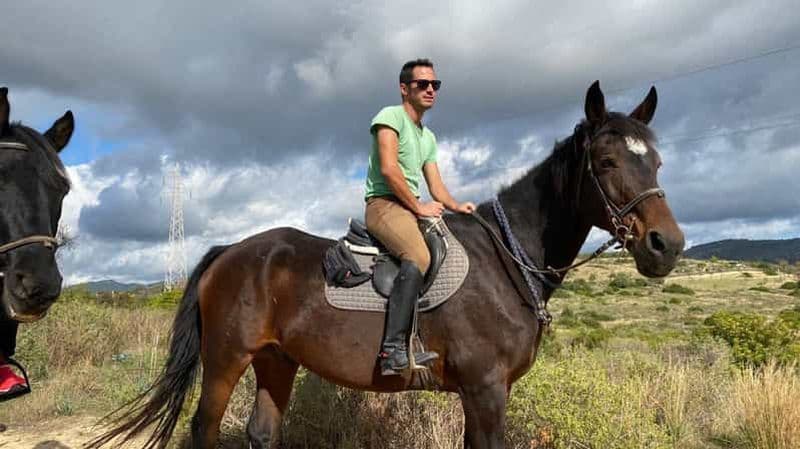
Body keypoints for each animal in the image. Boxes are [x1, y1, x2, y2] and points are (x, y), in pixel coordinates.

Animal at [90, 81, 684, 449]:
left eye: (656, 161)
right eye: (606, 162)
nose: (667, 246)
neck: (508, 261)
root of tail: (229, 252)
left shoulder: (487, 392)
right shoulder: (486, 389)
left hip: (277, 360)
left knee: (262, 431)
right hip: (225, 358)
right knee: (204, 428)